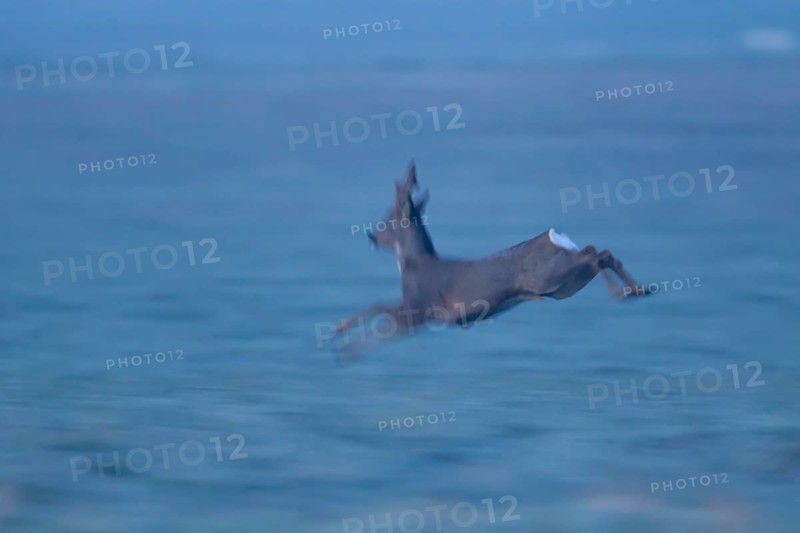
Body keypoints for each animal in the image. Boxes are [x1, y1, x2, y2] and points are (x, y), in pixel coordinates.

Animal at [331, 160, 652, 356]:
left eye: (388, 218)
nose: (371, 237)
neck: (413, 264)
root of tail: (555, 236)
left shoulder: (421, 309)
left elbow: (379, 309)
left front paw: (344, 342)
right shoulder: (421, 314)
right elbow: (380, 310)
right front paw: (341, 337)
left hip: (550, 277)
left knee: (593, 254)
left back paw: (626, 292)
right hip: (564, 286)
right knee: (600, 252)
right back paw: (637, 290)